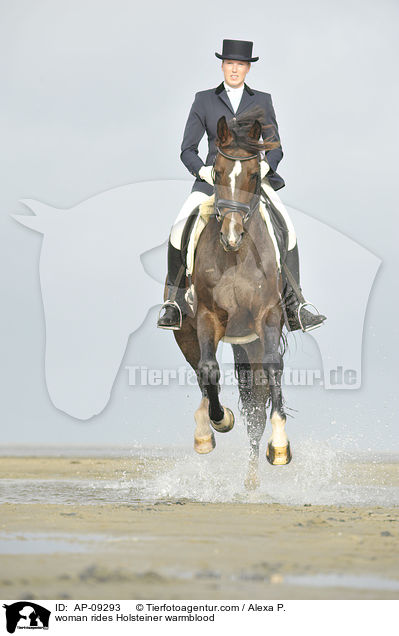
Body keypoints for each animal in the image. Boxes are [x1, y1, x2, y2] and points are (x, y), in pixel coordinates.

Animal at [170, 109, 292, 490]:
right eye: (218, 172)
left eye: (254, 175)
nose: (232, 235)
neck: (238, 257)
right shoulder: (208, 316)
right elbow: (209, 370)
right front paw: (219, 420)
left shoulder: (268, 315)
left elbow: (272, 369)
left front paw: (279, 446)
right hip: (188, 330)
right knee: (202, 371)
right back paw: (204, 430)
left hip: (250, 340)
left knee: (256, 402)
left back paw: (253, 476)